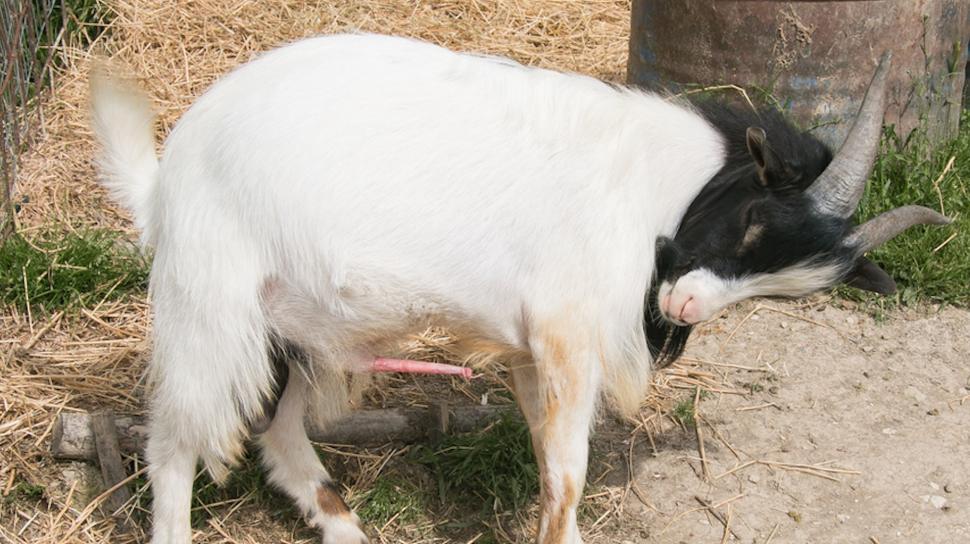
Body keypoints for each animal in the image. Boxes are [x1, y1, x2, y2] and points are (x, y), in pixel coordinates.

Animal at [89, 34, 944, 544]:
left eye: (783, 292)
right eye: (757, 218)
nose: (685, 306)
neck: (647, 186)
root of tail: (165, 178)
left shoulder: (536, 349)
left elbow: (547, 462)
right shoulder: (567, 335)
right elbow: (568, 475)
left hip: (294, 327)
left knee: (278, 433)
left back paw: (347, 528)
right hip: (210, 308)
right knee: (172, 444)